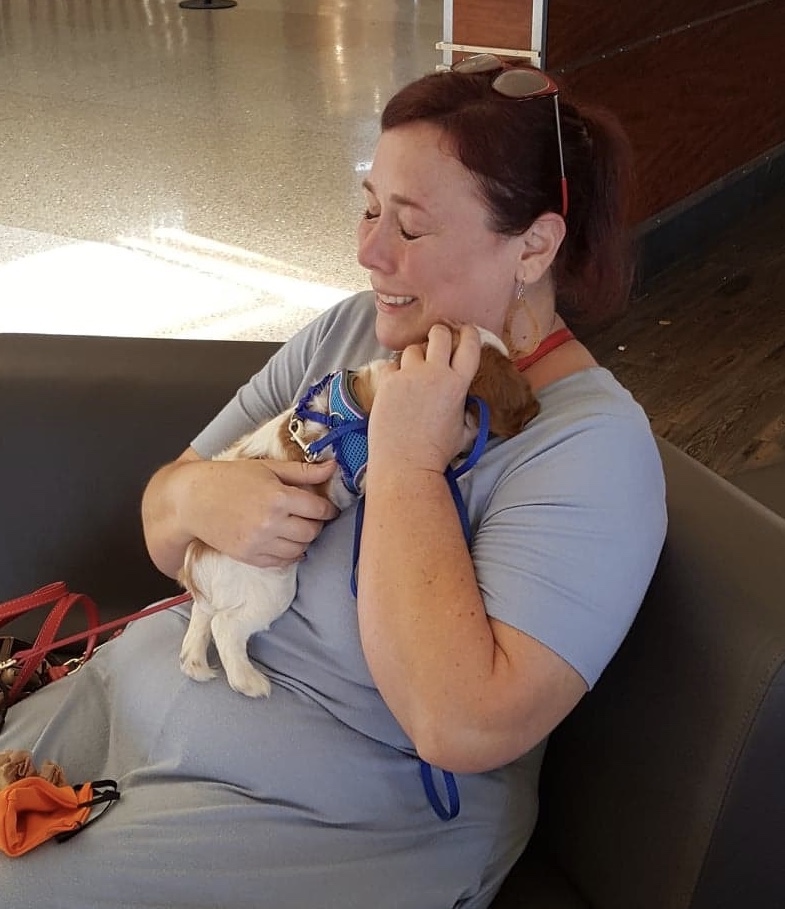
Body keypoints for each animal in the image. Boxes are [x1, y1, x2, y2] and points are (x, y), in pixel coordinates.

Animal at [178, 326, 540, 697]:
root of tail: (196, 559)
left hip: (219, 595)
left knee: (201, 621)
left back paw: (195, 663)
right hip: (268, 588)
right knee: (225, 625)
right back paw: (249, 681)